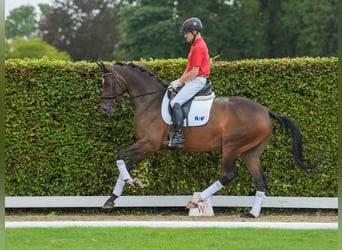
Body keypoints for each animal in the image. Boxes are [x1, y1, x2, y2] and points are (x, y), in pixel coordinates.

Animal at [96, 61, 320, 218]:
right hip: (250, 152)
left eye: (107, 83)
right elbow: (125, 165)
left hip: (231, 146)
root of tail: (265, 111)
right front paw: (113, 197)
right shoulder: (146, 147)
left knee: (227, 175)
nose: (104, 109)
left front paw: (132, 182)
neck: (149, 101)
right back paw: (251, 213)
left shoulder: (148, 144)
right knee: (260, 179)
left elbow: (120, 157)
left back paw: (197, 201)